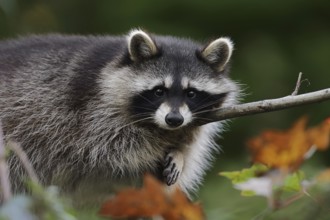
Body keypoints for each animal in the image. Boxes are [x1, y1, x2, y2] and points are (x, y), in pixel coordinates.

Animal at [0, 29, 238, 203]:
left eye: (191, 93)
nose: (174, 120)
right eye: (159, 91)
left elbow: (187, 148)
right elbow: (109, 149)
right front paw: (156, 150)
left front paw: (179, 152)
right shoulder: (87, 112)